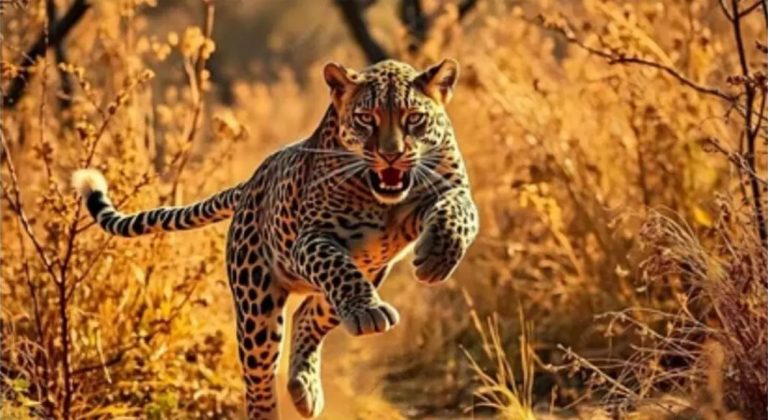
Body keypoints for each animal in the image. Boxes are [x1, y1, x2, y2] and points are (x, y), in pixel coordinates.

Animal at [72, 58, 479, 419]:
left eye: (414, 118)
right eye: (367, 119)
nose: (391, 155)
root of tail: (251, 182)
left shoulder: (453, 189)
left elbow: (460, 213)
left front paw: (437, 257)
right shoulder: (312, 240)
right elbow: (337, 266)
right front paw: (370, 308)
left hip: (364, 276)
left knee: (307, 316)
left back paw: (305, 389)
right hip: (257, 304)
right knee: (259, 378)